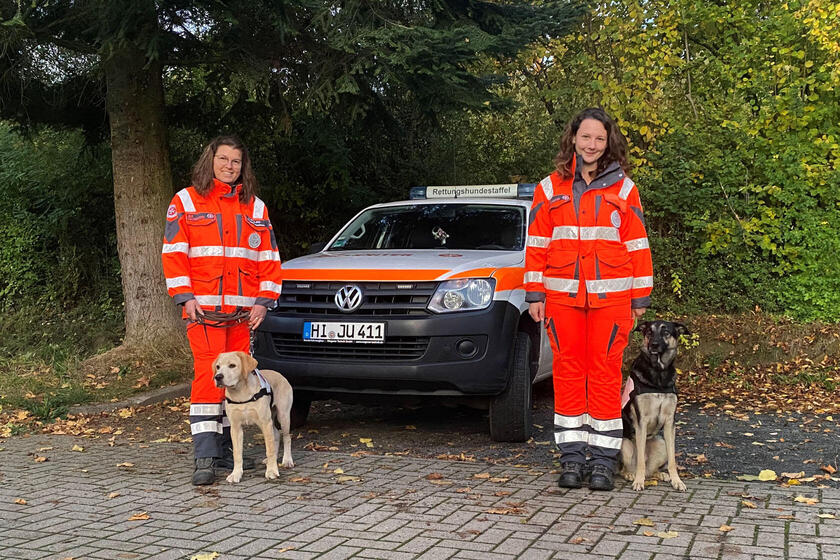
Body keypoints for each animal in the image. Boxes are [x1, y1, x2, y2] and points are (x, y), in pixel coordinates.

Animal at [212, 352, 294, 484]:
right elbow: (237, 454)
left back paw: (287, 460)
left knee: (286, 437)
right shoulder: (235, 427)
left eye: (232, 365)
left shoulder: (265, 423)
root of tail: (279, 374)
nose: (218, 377)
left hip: (283, 416)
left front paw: (271, 471)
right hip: (268, 420)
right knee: (276, 434)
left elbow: (269, 449)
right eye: (218, 367)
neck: (241, 394)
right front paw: (236, 474)